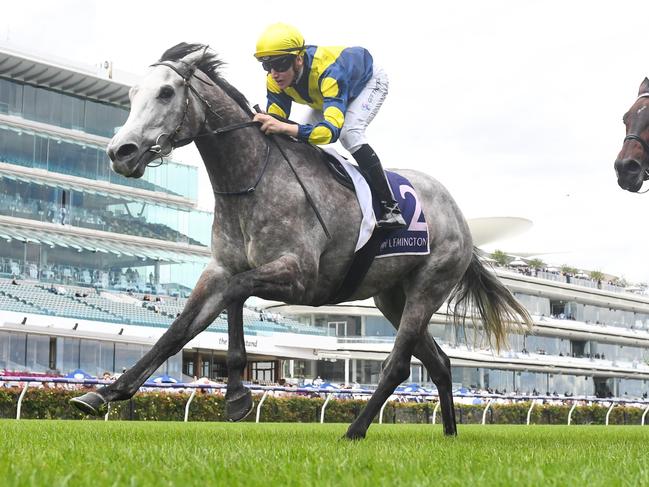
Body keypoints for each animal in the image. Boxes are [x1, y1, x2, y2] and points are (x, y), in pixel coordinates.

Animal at [72, 44, 532, 442]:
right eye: (132, 94)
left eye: (166, 92)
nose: (121, 151)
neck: (251, 179)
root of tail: (458, 214)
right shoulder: (220, 268)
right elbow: (180, 328)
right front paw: (102, 393)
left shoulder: (299, 276)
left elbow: (235, 294)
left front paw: (237, 395)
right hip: (391, 297)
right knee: (438, 362)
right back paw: (450, 433)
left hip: (428, 285)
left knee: (398, 364)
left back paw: (355, 430)